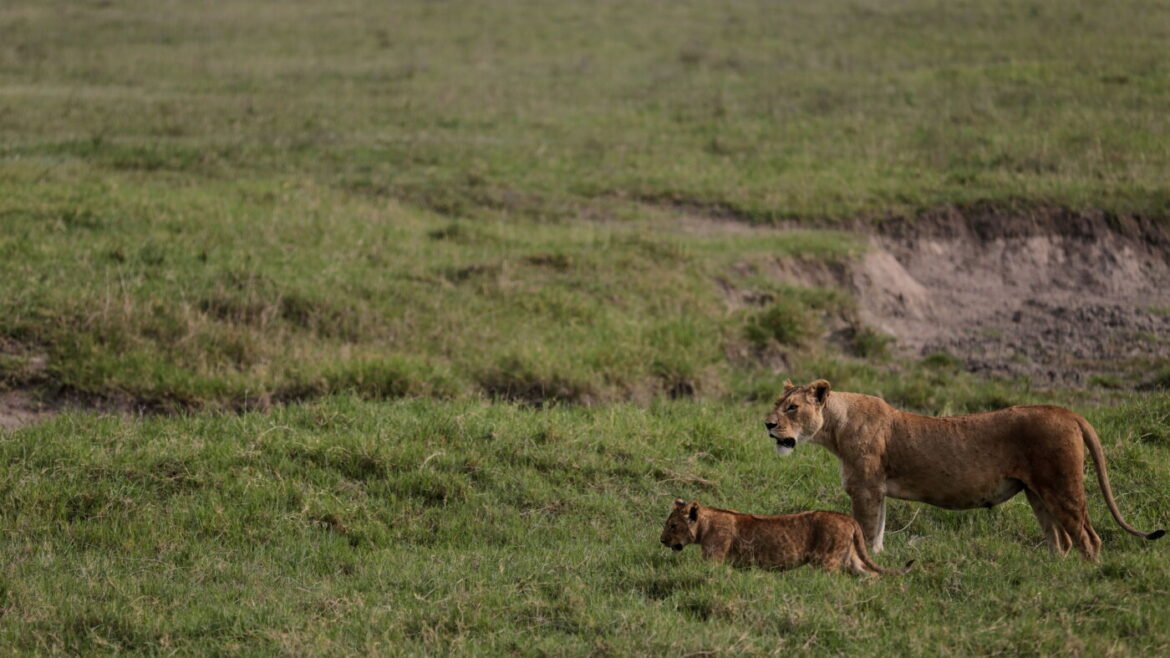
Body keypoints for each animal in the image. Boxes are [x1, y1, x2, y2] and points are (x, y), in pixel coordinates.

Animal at [659, 498, 913, 576]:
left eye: (672, 526)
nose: (662, 540)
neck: (706, 524)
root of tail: (848, 518)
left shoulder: (713, 558)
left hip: (827, 561)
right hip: (852, 558)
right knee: (871, 575)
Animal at [764, 379, 1165, 560]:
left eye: (792, 407)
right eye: (777, 403)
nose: (767, 424)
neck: (835, 426)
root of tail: (1067, 411)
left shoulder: (864, 488)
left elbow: (864, 528)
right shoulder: (877, 491)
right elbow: (877, 530)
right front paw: (877, 561)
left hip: (1062, 486)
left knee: (1087, 538)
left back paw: (1083, 576)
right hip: (1037, 493)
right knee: (1060, 540)